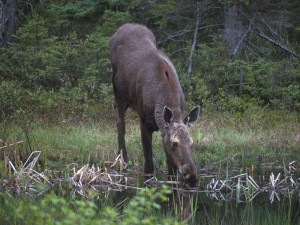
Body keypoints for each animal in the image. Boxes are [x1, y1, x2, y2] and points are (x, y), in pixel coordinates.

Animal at [109, 22, 200, 185]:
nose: (192, 177)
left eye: (191, 143)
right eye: (174, 143)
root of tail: (123, 27)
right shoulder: (144, 123)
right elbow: (149, 167)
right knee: (120, 122)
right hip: (116, 89)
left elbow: (171, 167)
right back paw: (123, 159)